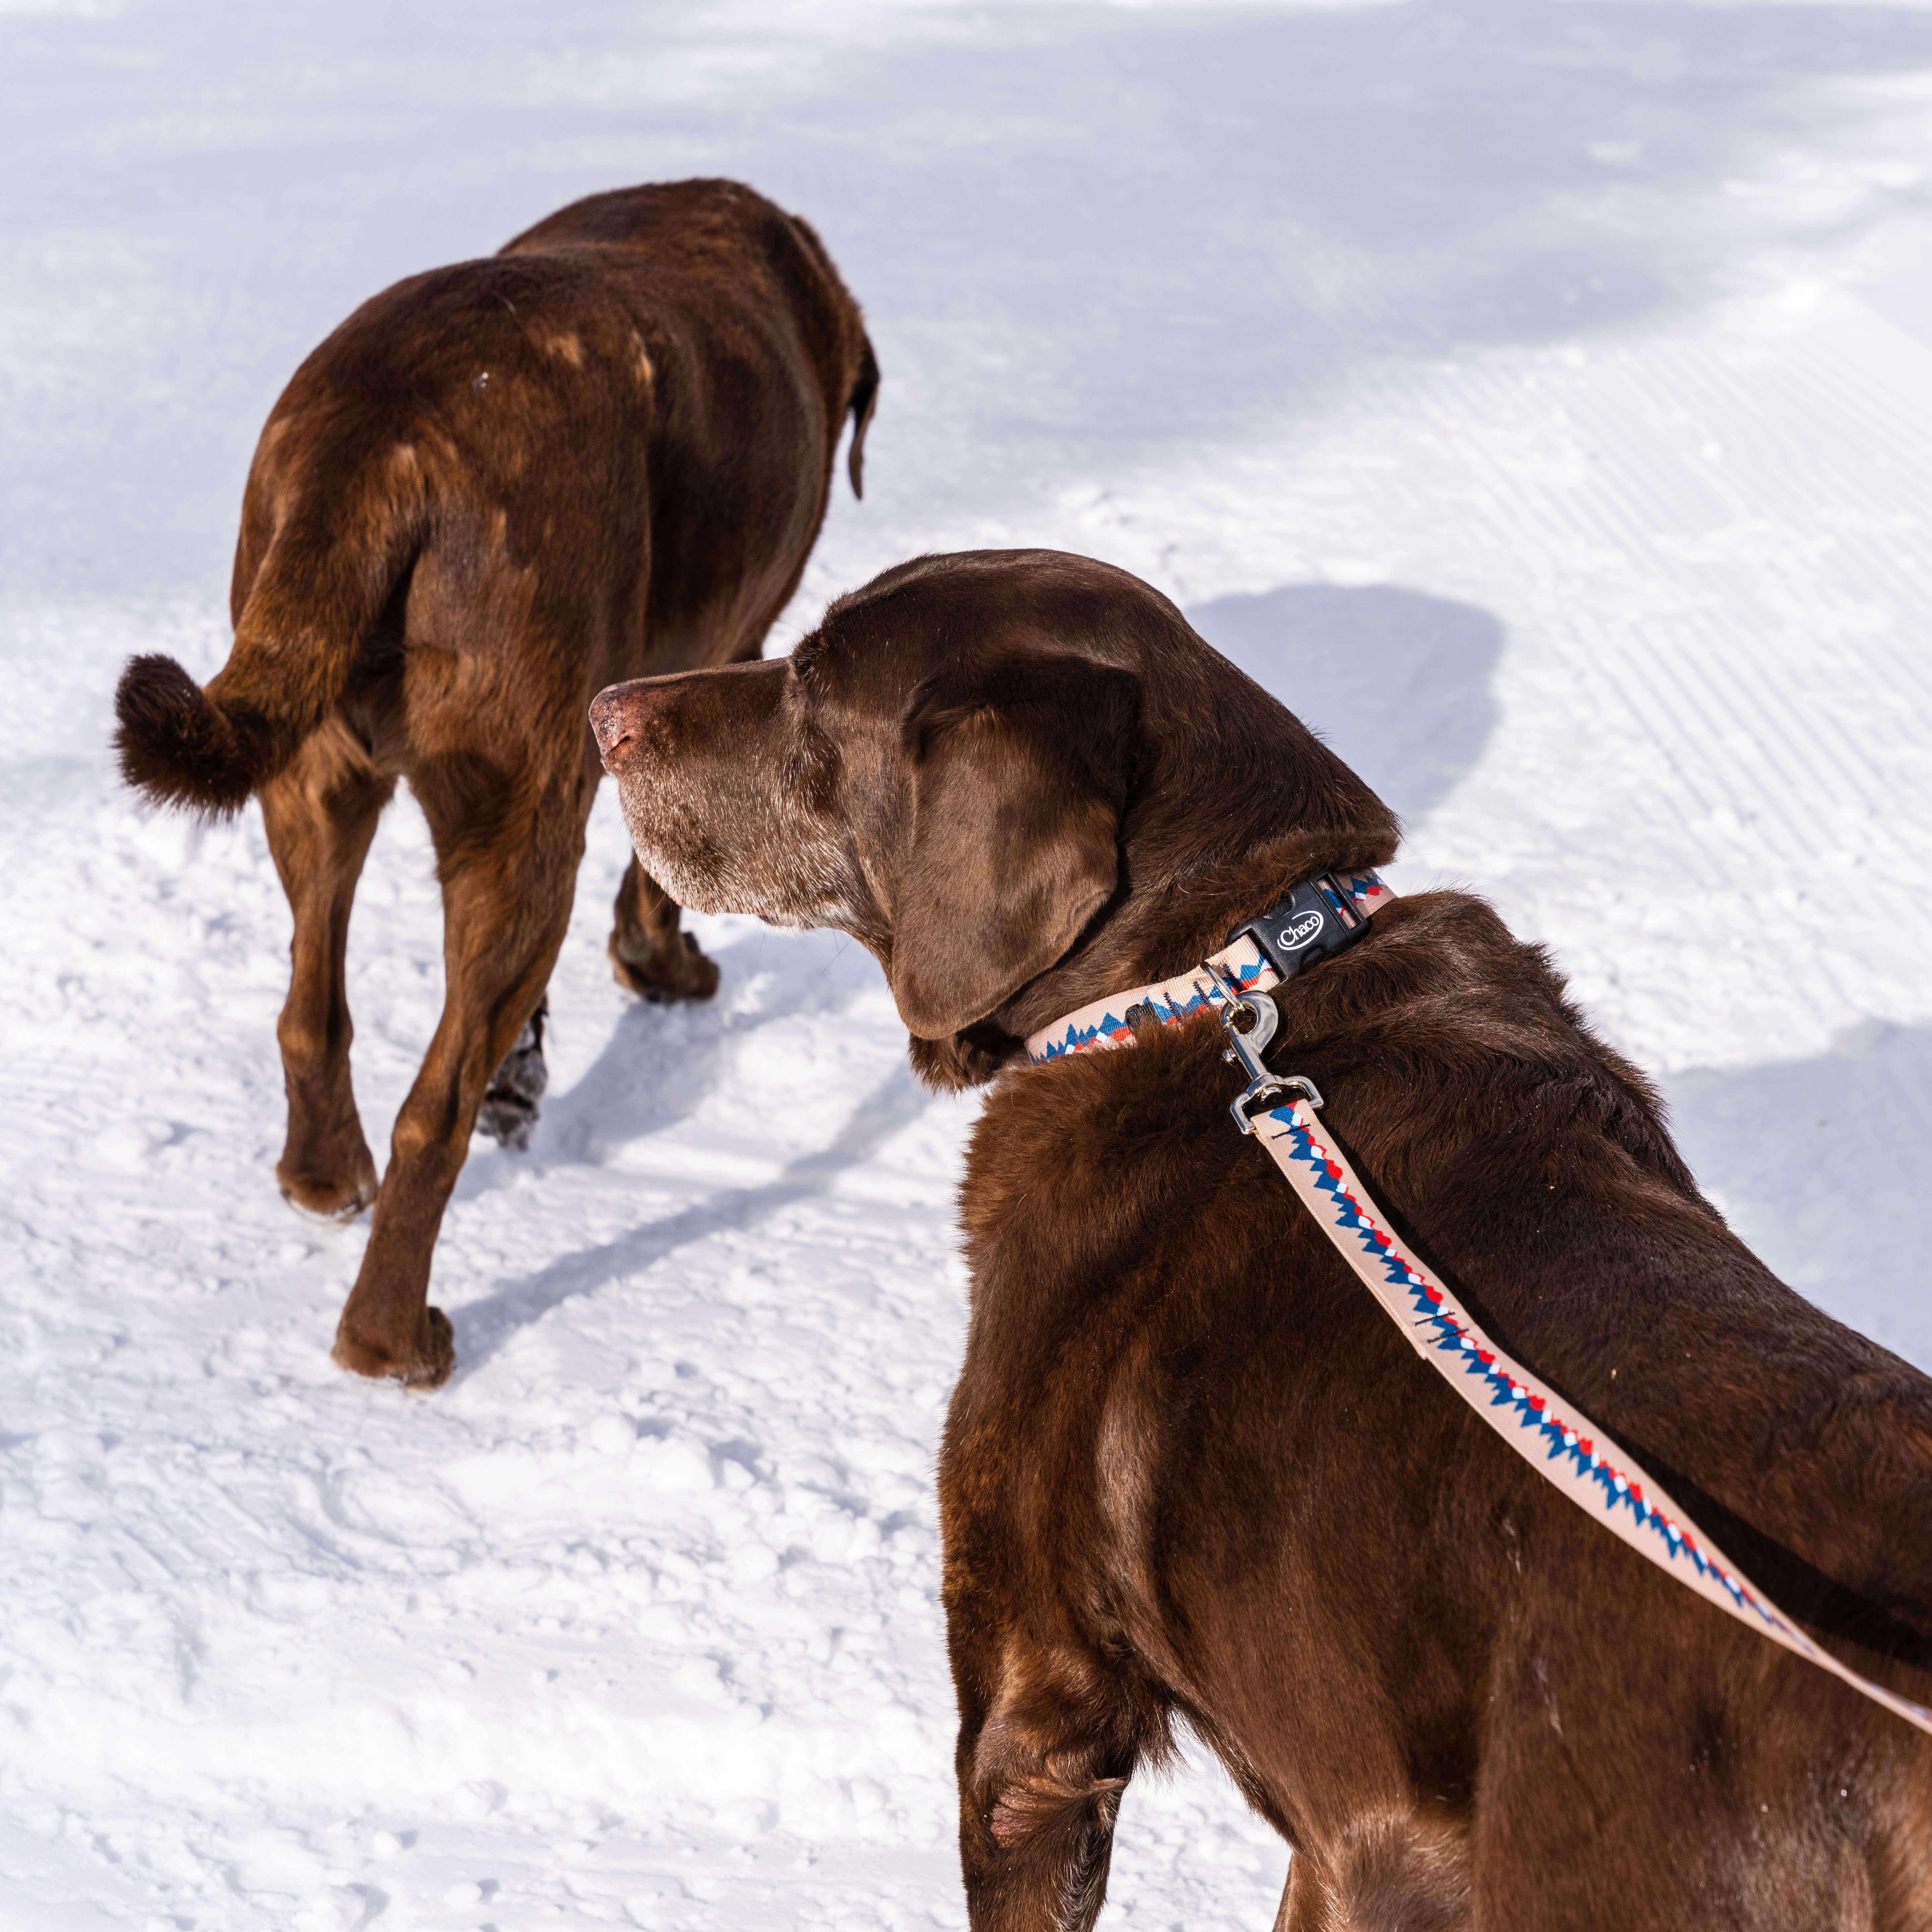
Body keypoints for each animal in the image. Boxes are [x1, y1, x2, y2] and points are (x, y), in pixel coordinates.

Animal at [113, 177, 885, 1391]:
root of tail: (379, 446)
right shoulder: (719, 651)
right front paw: (663, 968)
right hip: (522, 821)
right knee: (433, 1111)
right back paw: (392, 1339)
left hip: (313, 770)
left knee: (310, 1007)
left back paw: (325, 1178)